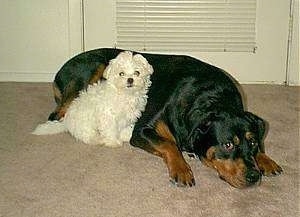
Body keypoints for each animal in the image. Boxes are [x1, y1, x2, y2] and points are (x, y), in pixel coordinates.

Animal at [48, 48, 282, 188]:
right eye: (227, 145)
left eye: (252, 142)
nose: (254, 177)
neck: (210, 98)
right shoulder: (142, 131)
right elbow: (169, 145)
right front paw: (182, 170)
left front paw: (265, 160)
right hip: (90, 72)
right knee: (60, 113)